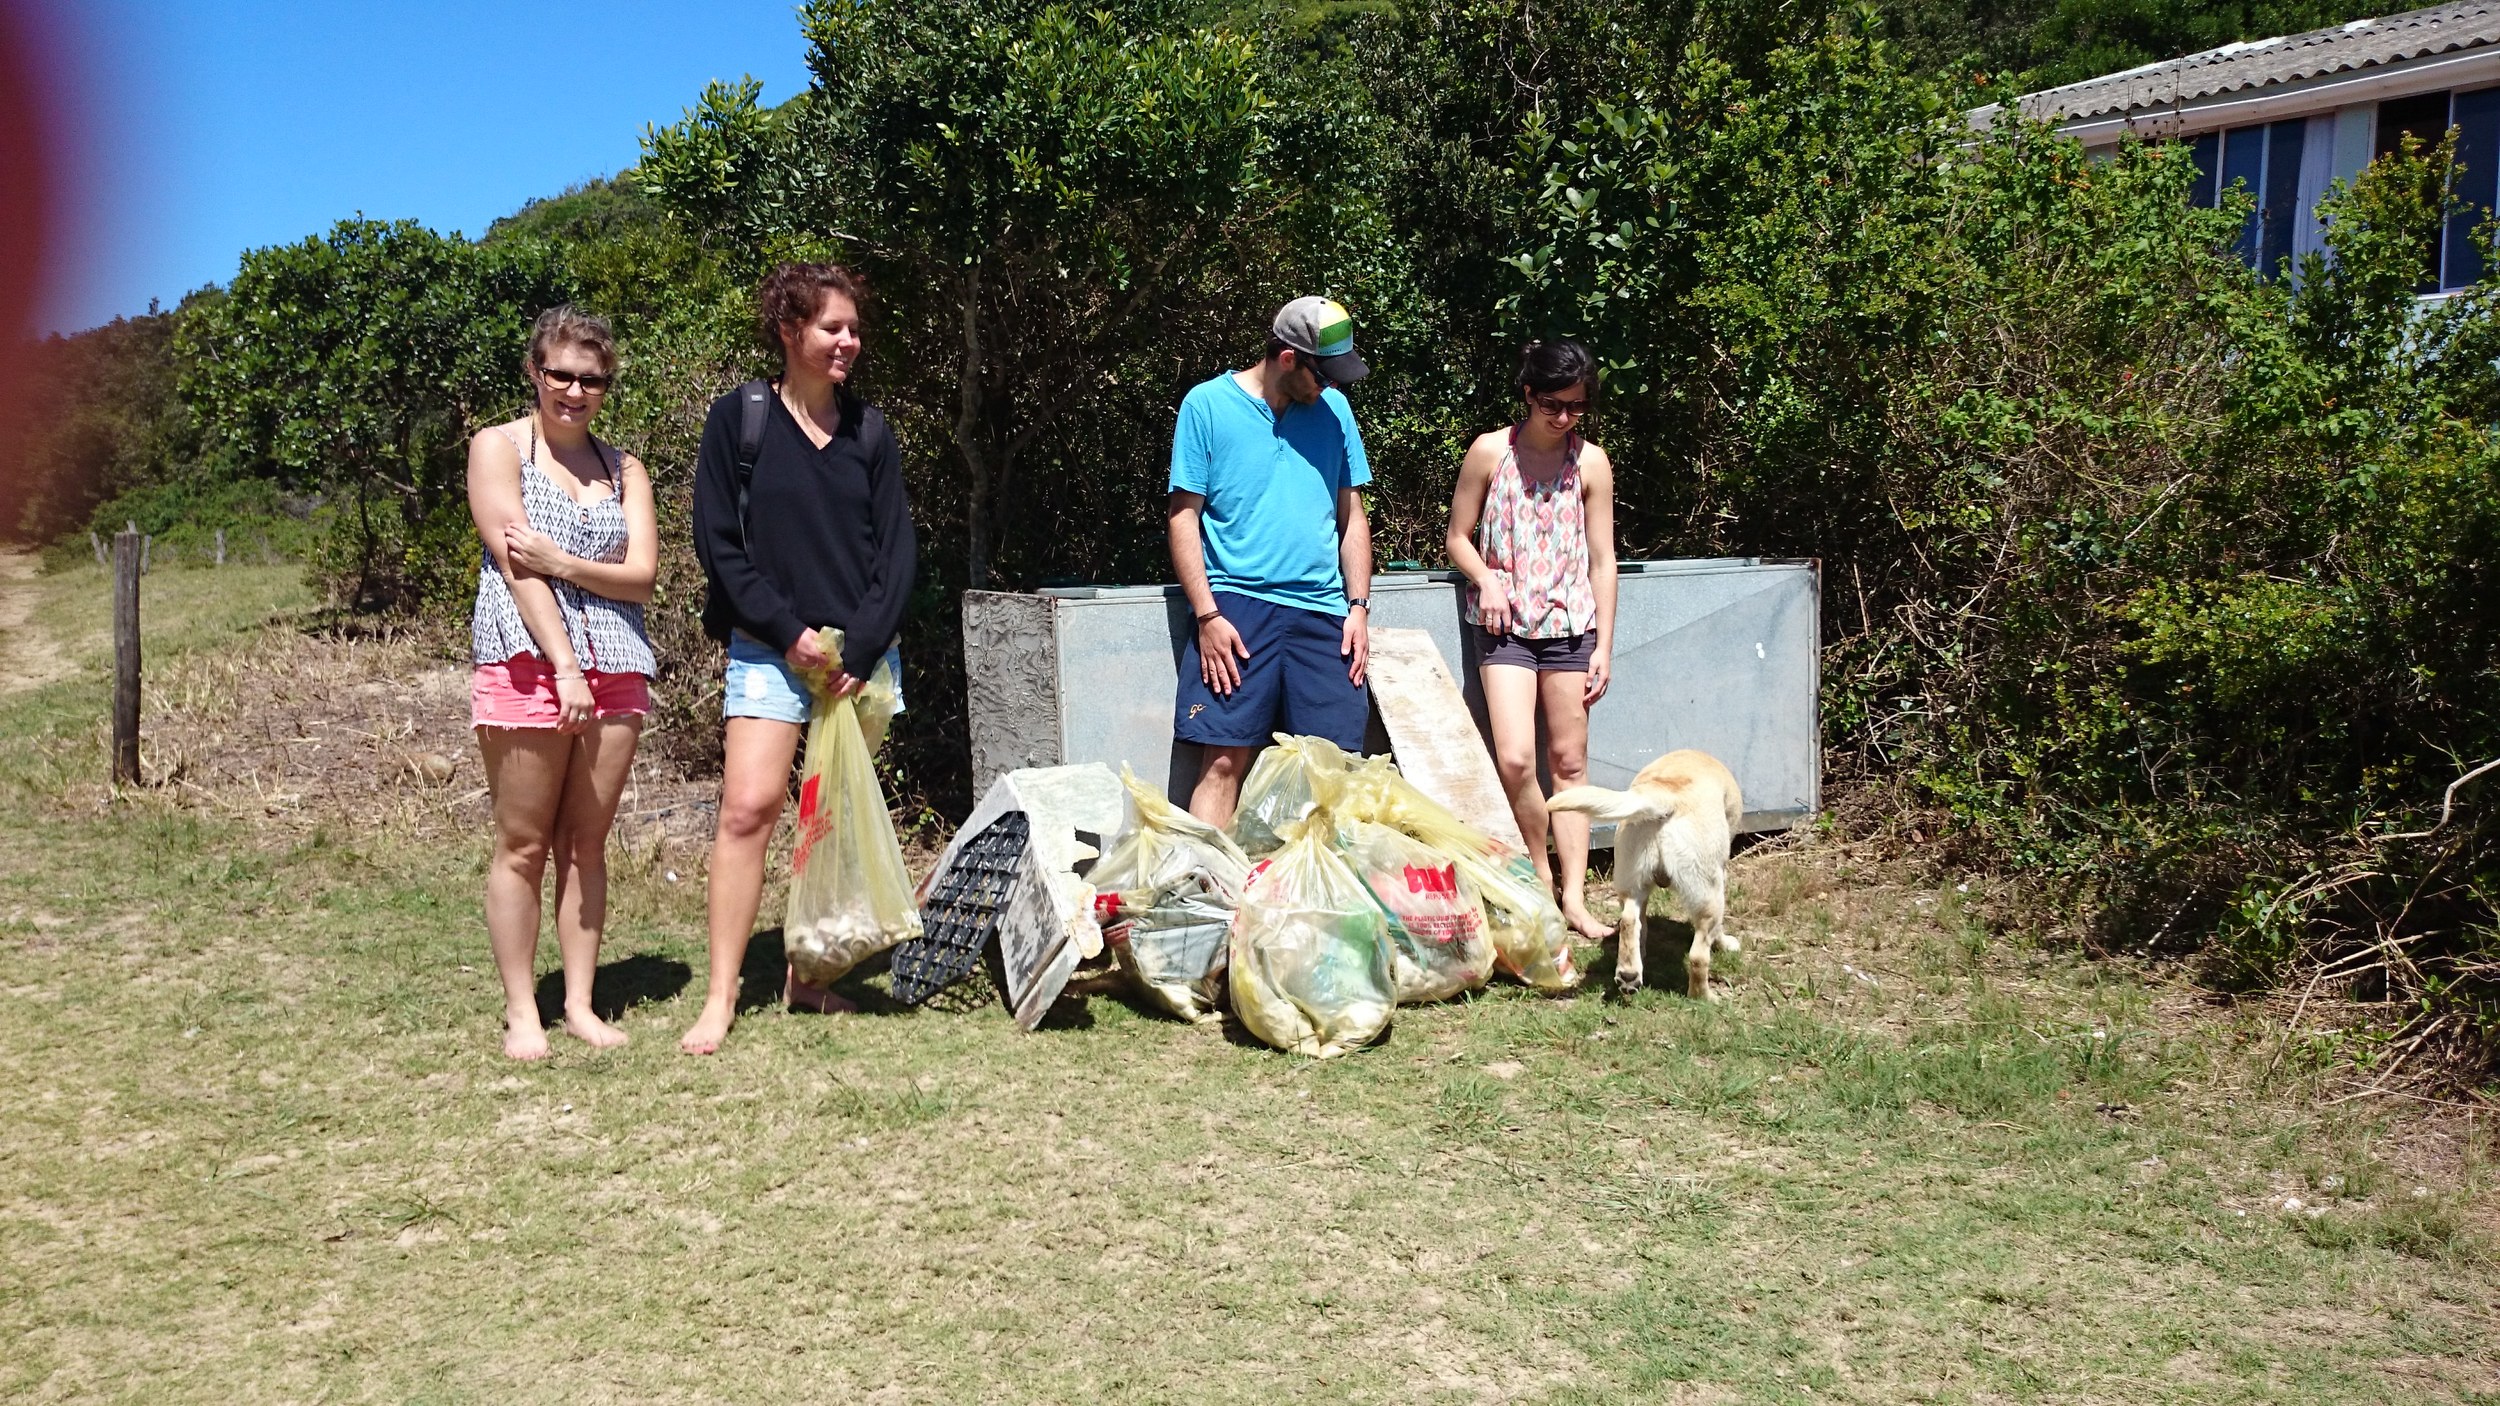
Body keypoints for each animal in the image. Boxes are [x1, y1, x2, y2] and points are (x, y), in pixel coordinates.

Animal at [1540, 745, 1740, 995]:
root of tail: (1662, 794)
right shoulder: (1720, 874)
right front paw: (1726, 943)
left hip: (1630, 881)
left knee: (1629, 920)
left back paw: (1629, 973)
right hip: (1708, 896)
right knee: (1698, 955)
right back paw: (1703, 996)